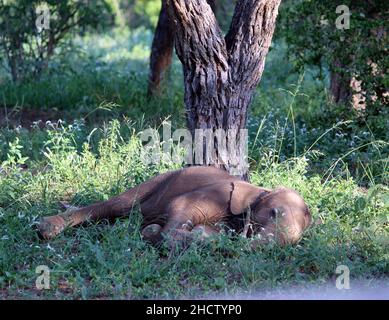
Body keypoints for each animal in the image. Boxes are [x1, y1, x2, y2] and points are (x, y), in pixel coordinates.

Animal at [37, 166, 312, 249]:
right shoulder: (219, 193)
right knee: (117, 205)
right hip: (157, 181)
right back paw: (47, 228)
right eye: (273, 212)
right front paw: (156, 233)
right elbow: (179, 208)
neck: (262, 189)